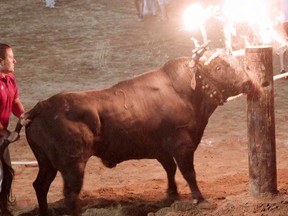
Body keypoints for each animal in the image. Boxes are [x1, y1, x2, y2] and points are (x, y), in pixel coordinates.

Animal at [0, 44, 253, 216]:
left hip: (47, 163)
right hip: (73, 165)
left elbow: (170, 169)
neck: (186, 92)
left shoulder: (161, 148)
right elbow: (188, 172)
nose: (248, 83)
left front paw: (171, 194)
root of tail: (41, 106)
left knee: (40, 186)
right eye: (219, 66)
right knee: (70, 194)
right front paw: (200, 200)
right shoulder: (183, 144)